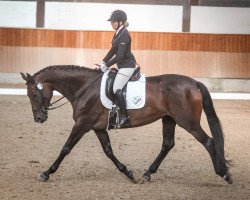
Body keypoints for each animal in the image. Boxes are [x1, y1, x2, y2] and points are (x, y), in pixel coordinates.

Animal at [21, 65, 232, 184]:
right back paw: (147, 174)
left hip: (188, 122)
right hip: (169, 119)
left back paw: (224, 174)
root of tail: (194, 82)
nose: (39, 119)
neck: (84, 88)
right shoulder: (97, 127)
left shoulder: (82, 124)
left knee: (209, 142)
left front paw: (46, 173)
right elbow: (108, 151)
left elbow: (65, 149)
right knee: (167, 144)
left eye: (33, 93)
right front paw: (129, 173)